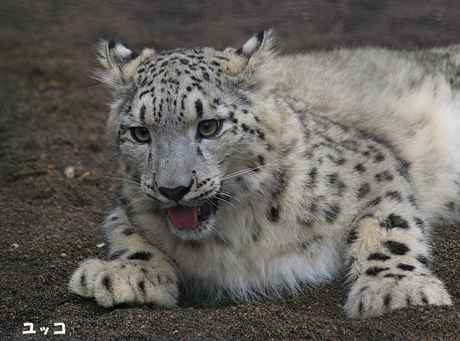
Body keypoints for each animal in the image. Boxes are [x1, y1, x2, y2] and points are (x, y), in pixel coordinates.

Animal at [69, 30, 460, 318]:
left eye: (209, 126)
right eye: (140, 133)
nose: (173, 189)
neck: (235, 237)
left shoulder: (373, 168)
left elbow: (388, 229)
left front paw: (397, 291)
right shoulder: (129, 204)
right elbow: (127, 232)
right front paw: (121, 275)